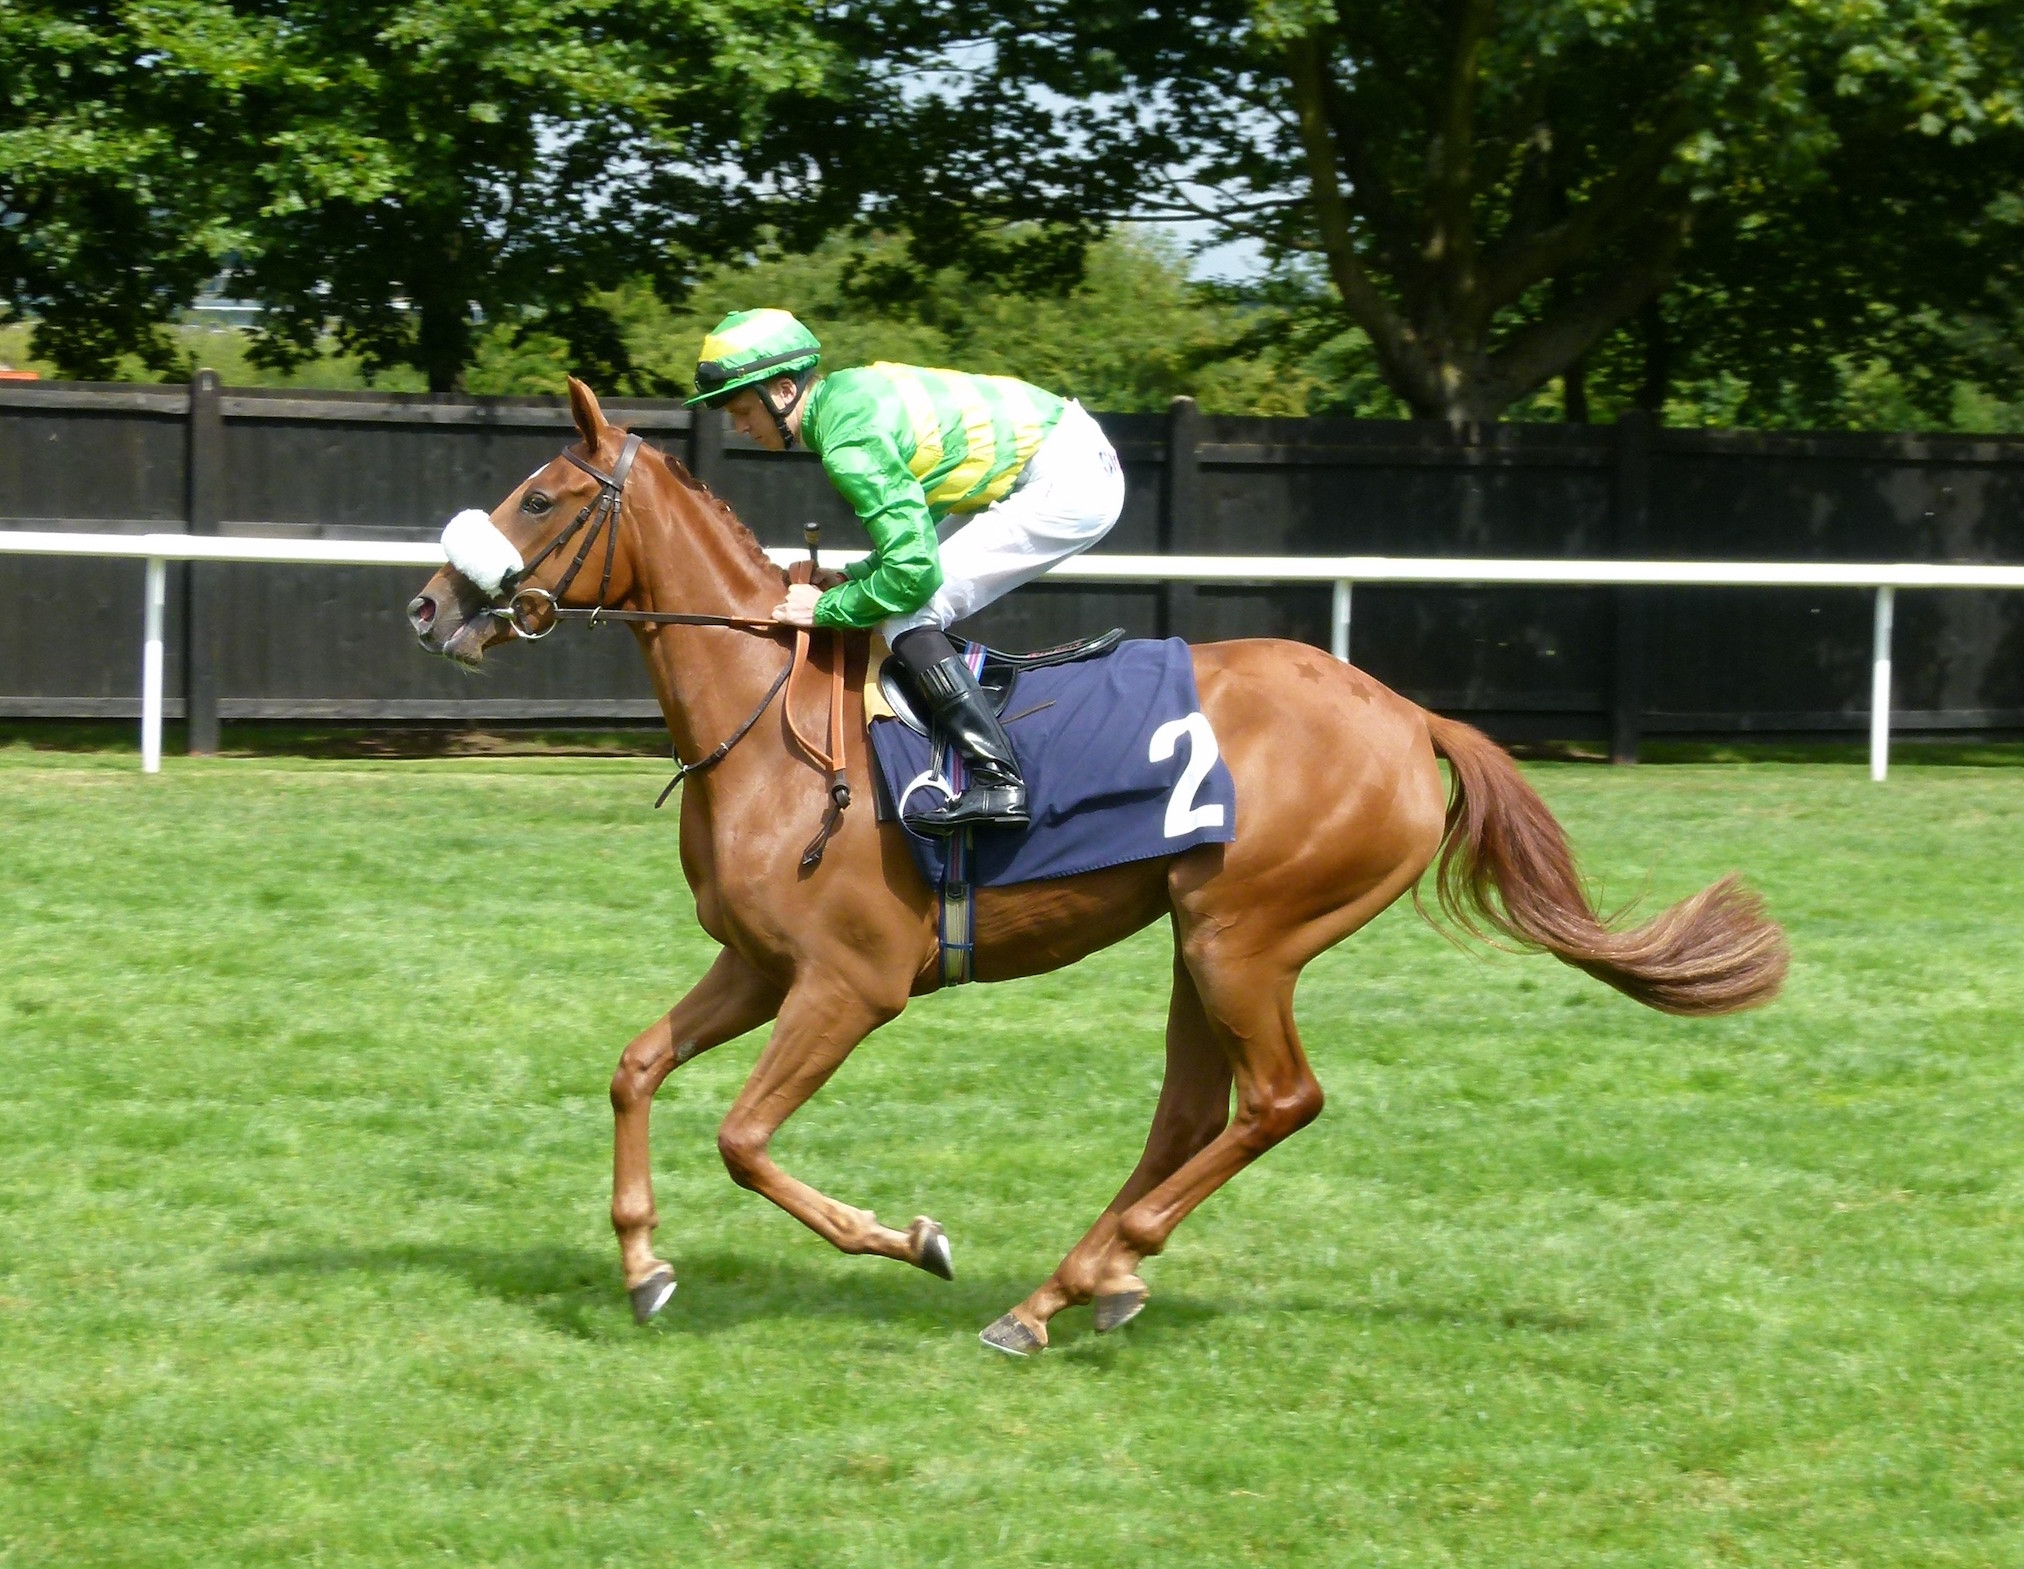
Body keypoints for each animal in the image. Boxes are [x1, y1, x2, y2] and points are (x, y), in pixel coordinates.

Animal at [406, 376, 1789, 1352]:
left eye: (539, 498)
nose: (428, 608)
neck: (771, 723)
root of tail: (1408, 717)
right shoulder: (756, 966)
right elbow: (636, 1068)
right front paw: (643, 1266)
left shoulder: (850, 985)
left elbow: (745, 1139)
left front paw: (907, 1238)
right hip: (1199, 933)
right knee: (1194, 1109)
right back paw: (1094, 1279)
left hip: (1247, 935)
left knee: (1279, 1101)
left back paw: (1062, 1288)